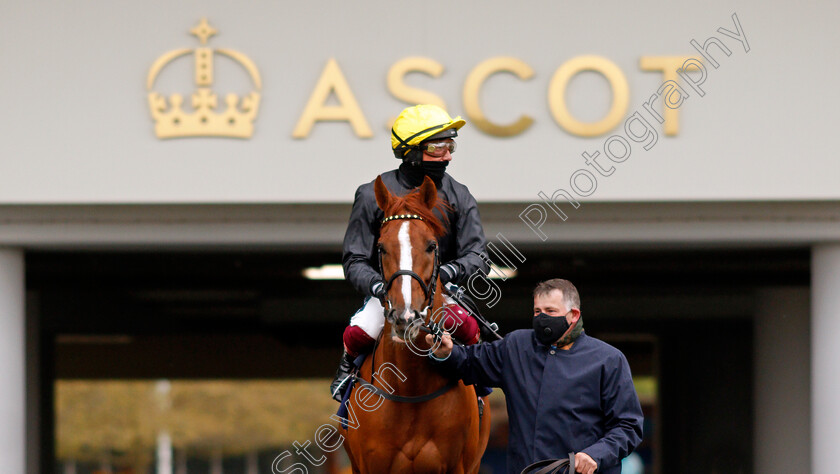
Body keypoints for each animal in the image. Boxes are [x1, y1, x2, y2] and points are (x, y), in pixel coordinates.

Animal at [338, 176, 488, 474]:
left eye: (431, 245)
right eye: (381, 247)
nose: (406, 316)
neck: (412, 389)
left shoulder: (458, 467)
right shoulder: (370, 466)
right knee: (357, 332)